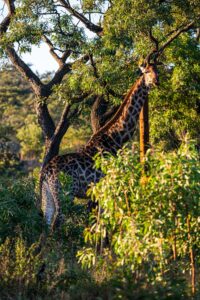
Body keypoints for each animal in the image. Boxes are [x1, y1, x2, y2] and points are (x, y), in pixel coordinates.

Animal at [41, 62, 159, 227]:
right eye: (147, 71)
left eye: (157, 70)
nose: (156, 81)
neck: (116, 138)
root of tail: (46, 172)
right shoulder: (107, 185)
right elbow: (104, 224)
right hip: (65, 193)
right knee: (56, 224)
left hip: (48, 195)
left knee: (45, 225)